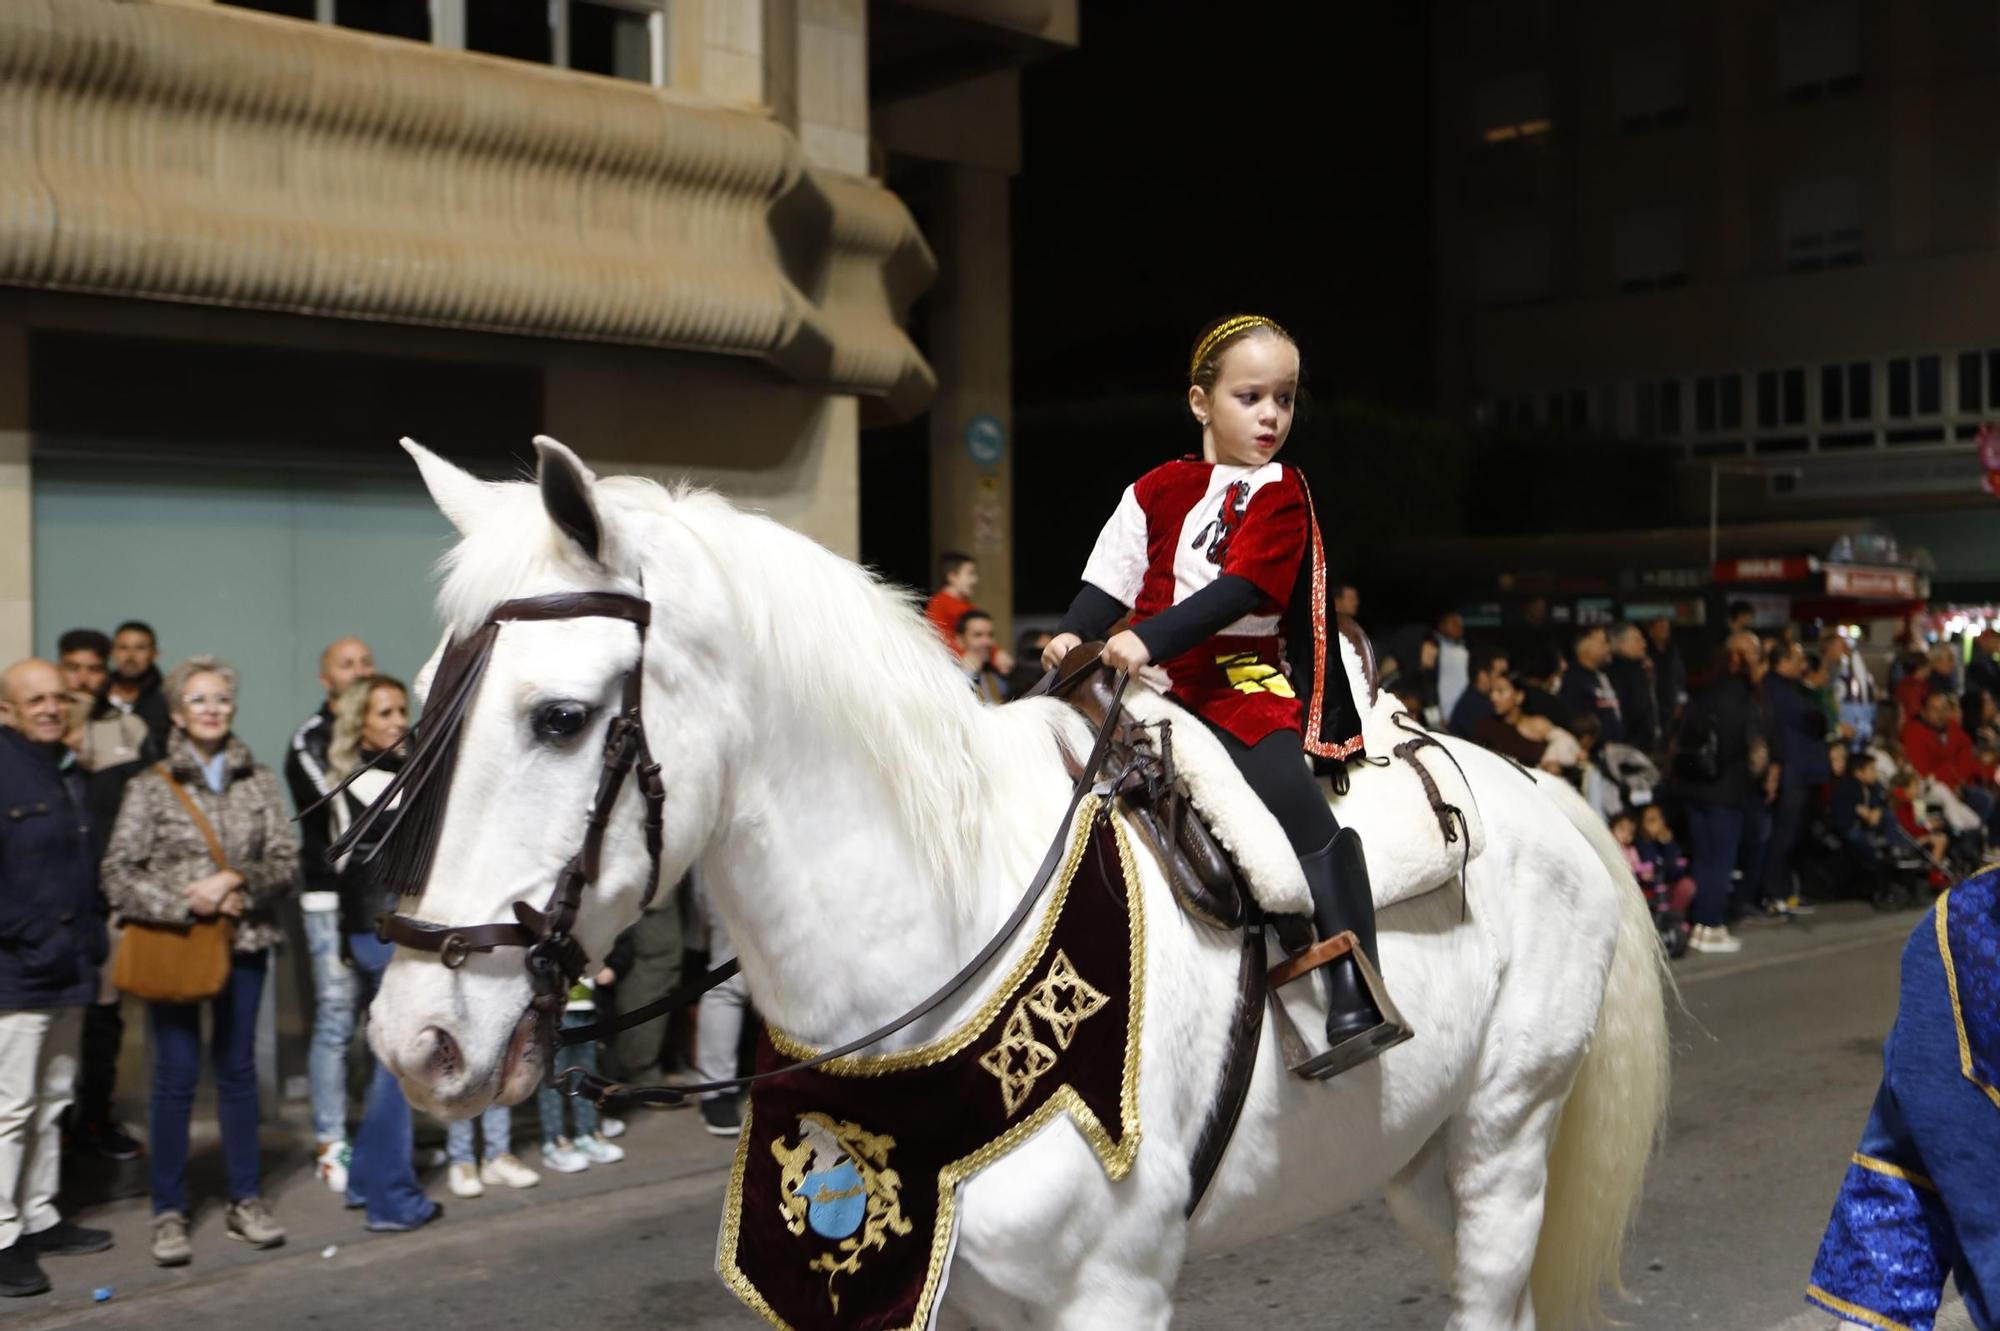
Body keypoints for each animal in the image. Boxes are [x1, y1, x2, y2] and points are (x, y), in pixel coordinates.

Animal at [372, 437, 1672, 1327]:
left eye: (558, 717)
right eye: (424, 700)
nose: (414, 1034)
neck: (946, 938)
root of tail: (1539, 780)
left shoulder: (1110, 1291)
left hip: (1503, 1137)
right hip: (1421, 1159)